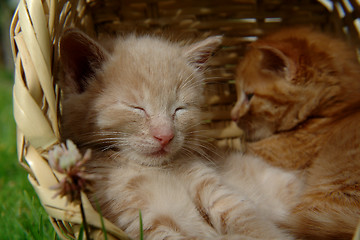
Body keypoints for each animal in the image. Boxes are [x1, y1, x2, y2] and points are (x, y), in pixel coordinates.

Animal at [57, 29, 292, 240]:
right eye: (137, 108)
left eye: (179, 109)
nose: (165, 136)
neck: (152, 169)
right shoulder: (132, 216)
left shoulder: (208, 183)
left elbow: (245, 217)